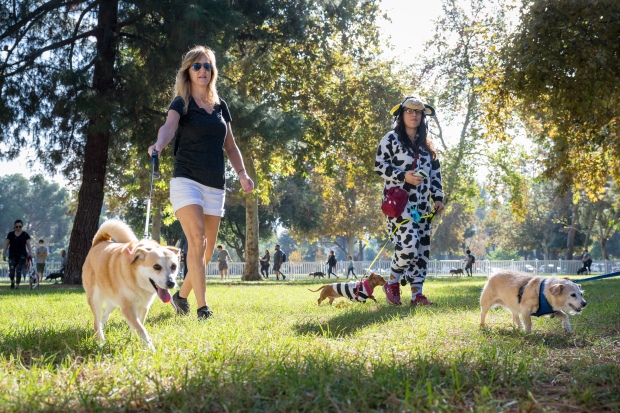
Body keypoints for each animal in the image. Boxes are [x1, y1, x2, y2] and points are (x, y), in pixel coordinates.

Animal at [82, 219, 180, 348]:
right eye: (156, 267)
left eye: (174, 266)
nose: (171, 283)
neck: (138, 283)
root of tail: (99, 242)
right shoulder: (127, 308)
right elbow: (141, 329)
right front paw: (150, 348)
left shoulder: (143, 307)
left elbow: (139, 325)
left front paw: (135, 340)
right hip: (95, 298)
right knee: (96, 321)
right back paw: (101, 341)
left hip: (113, 301)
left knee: (104, 314)